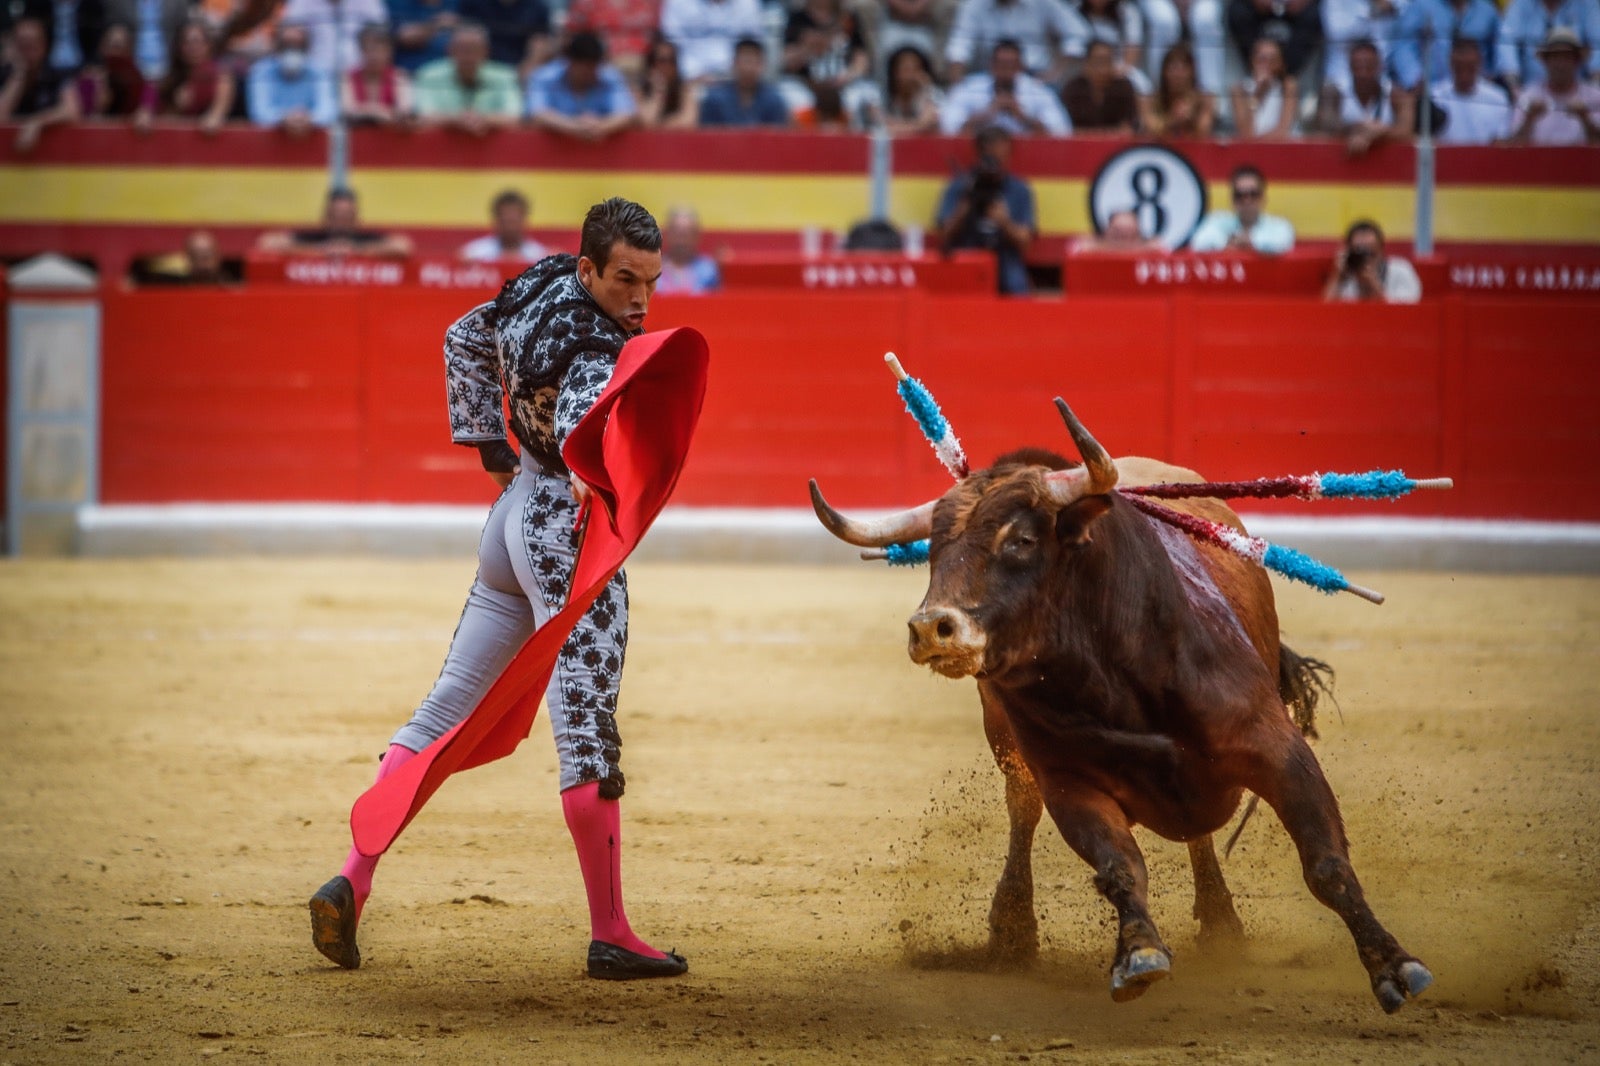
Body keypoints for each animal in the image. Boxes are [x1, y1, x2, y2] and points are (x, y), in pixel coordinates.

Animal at [812, 400, 1440, 1011]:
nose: (931, 628)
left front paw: (1394, 965)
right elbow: (1119, 866)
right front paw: (1138, 953)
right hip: (1009, 745)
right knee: (1023, 810)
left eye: (1021, 540)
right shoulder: (1070, 783)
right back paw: (1013, 931)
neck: (1113, 670)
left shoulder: (1277, 748)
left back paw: (1221, 924)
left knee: (1201, 837)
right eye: (935, 550)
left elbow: (1327, 862)